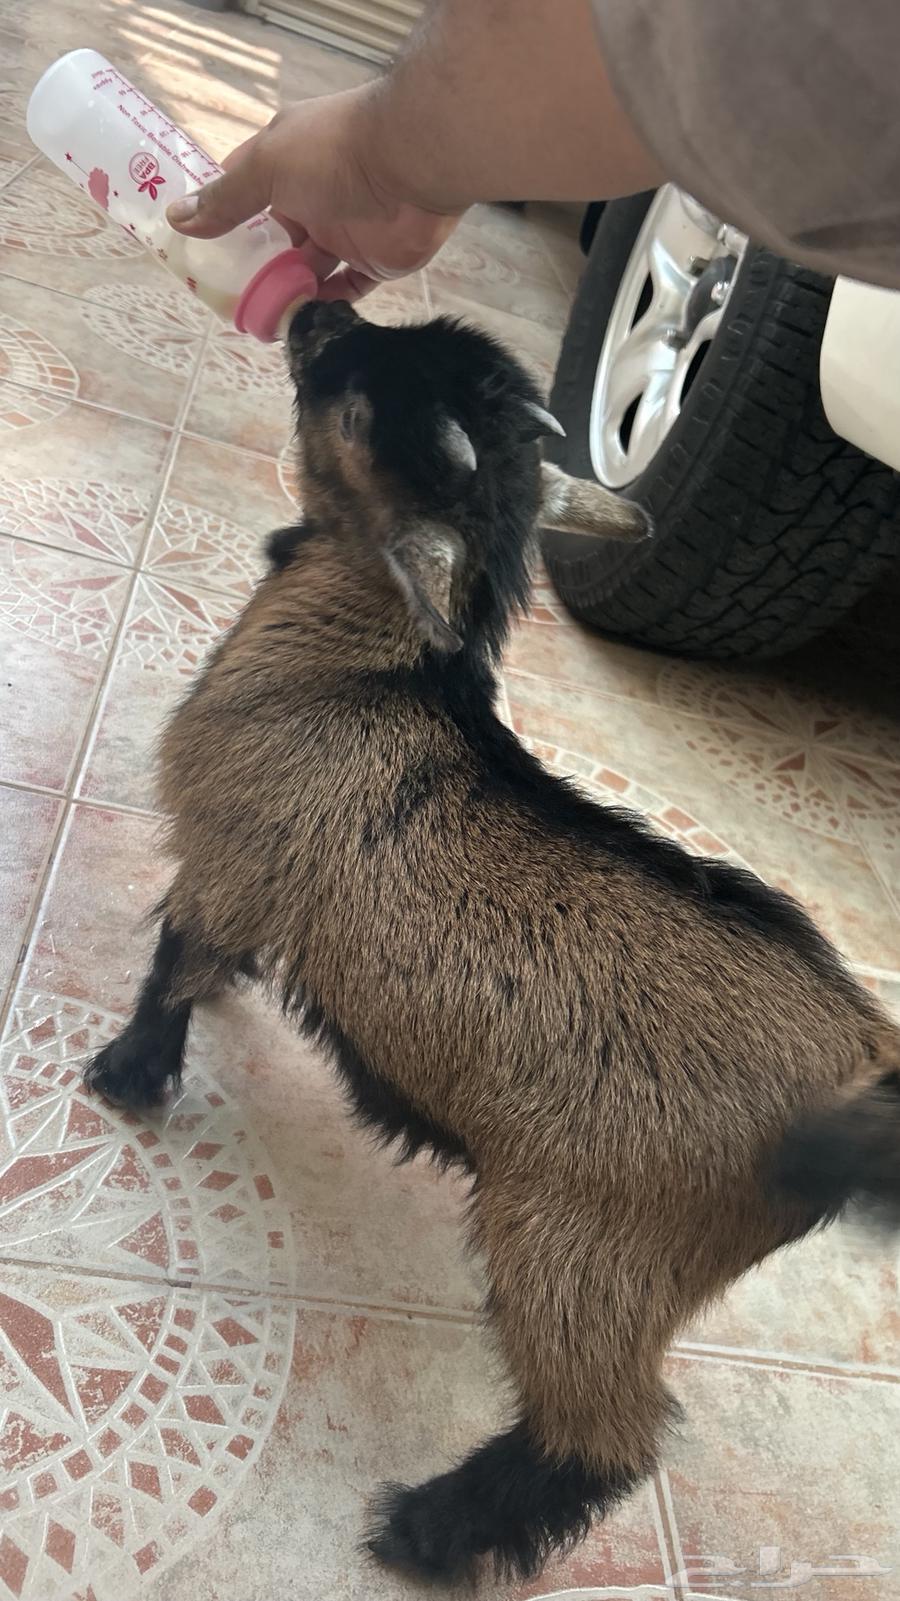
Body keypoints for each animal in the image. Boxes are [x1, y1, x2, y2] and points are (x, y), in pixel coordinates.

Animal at [85, 302, 900, 1586]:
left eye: (356, 389)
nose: (316, 310)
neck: (370, 669)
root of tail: (865, 1074)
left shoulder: (232, 855)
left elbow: (175, 952)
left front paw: (129, 1073)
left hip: (589, 1249)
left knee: (608, 1432)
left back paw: (432, 1529)